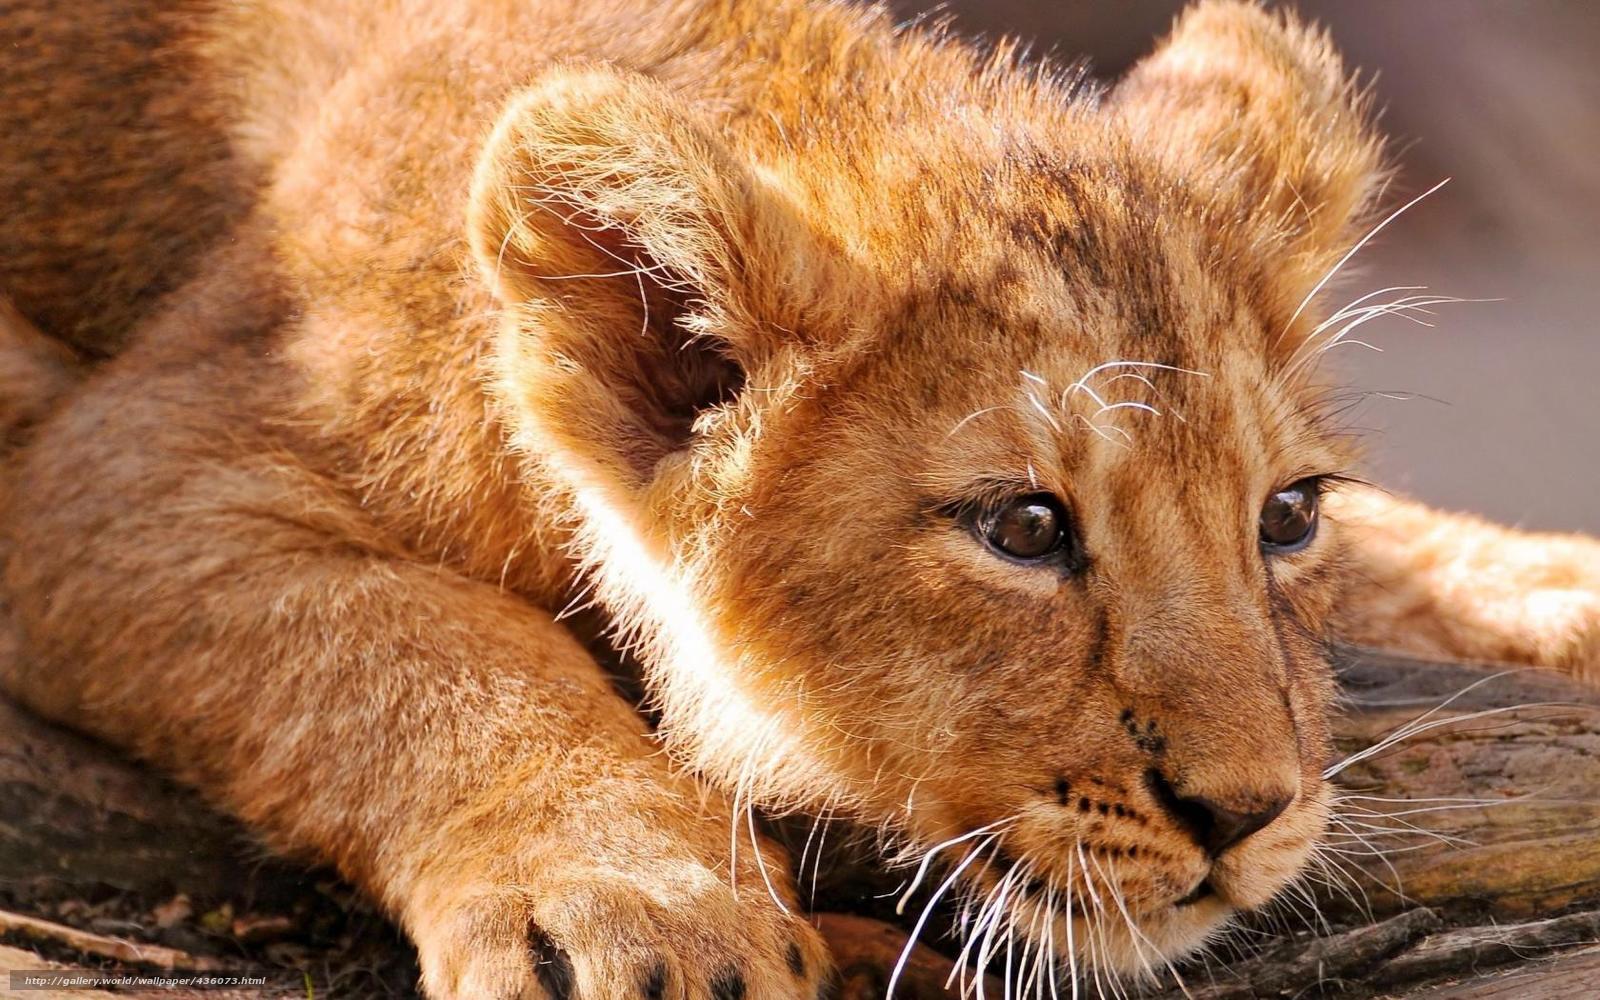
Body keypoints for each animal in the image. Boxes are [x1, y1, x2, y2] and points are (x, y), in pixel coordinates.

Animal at [2, 0, 1597, 996]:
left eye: (1288, 517)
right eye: (1025, 529)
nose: (1249, 814)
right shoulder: (121, 467)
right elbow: (409, 642)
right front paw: (639, 900)